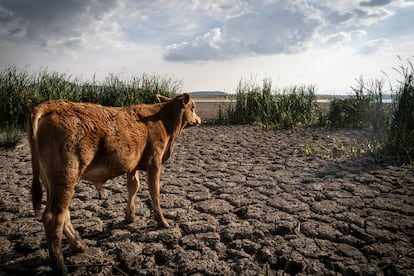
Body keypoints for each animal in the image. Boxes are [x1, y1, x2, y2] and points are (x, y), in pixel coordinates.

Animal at [27, 94, 201, 274]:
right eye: (193, 107)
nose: (199, 120)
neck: (161, 119)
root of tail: (50, 105)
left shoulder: (133, 165)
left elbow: (133, 187)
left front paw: (130, 216)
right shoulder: (155, 162)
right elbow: (155, 192)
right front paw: (162, 222)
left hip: (52, 183)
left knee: (63, 214)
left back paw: (79, 244)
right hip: (66, 177)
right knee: (54, 218)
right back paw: (61, 267)